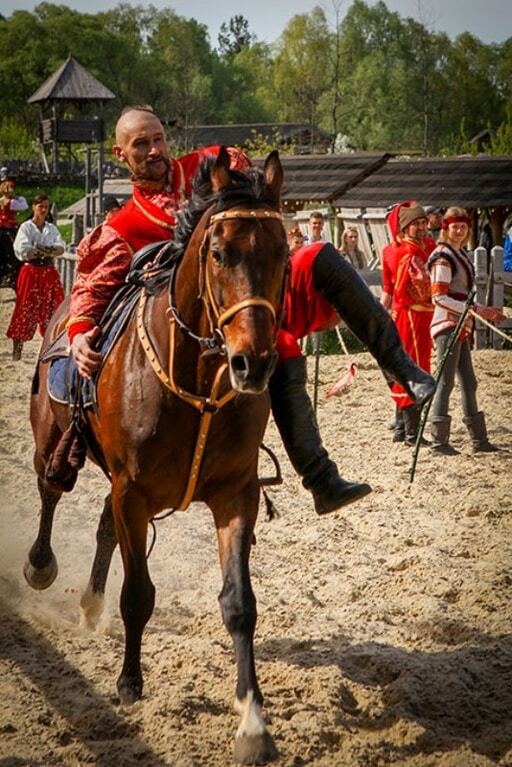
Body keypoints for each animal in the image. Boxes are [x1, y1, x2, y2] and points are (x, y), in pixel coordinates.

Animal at [27, 148, 288, 760]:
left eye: (283, 253)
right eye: (219, 253)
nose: (254, 363)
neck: (194, 380)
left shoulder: (234, 494)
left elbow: (240, 604)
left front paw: (252, 720)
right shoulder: (134, 490)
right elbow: (138, 594)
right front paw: (129, 681)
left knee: (101, 525)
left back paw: (89, 602)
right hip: (54, 443)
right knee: (51, 492)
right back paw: (40, 566)